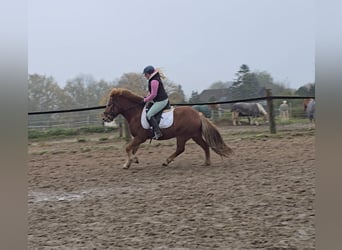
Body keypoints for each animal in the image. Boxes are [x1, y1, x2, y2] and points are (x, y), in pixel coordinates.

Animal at [103, 87, 234, 168]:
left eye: (109, 104)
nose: (105, 118)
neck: (136, 112)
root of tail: (198, 114)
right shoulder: (138, 138)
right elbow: (132, 149)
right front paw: (129, 163)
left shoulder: (140, 137)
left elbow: (127, 148)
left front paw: (132, 160)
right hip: (194, 135)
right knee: (205, 146)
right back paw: (207, 162)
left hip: (183, 136)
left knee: (180, 149)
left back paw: (166, 161)